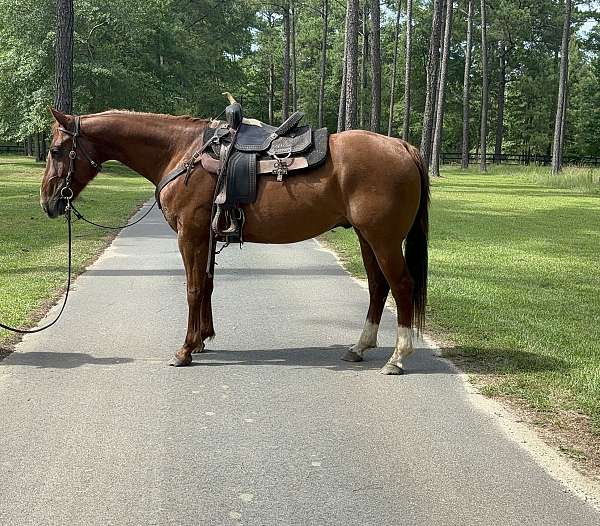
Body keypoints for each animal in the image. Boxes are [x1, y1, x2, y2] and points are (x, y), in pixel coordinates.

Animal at [41, 110, 426, 376]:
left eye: (57, 150)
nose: (48, 201)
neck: (183, 153)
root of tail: (403, 147)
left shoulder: (190, 235)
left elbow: (193, 288)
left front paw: (185, 350)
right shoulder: (207, 237)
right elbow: (207, 285)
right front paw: (202, 339)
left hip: (383, 239)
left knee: (401, 286)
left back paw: (397, 358)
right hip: (366, 238)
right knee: (378, 287)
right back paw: (360, 347)